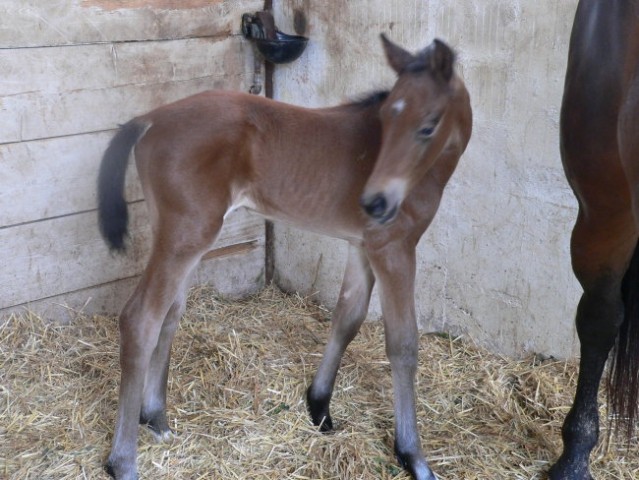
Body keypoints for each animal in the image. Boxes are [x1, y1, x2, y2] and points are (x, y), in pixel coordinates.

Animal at [97, 34, 472, 480]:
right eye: (385, 118)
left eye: (428, 125)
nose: (374, 203)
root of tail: (150, 118)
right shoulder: (393, 248)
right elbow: (403, 345)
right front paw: (412, 455)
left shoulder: (362, 246)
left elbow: (347, 318)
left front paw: (319, 406)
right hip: (187, 234)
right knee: (141, 320)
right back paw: (123, 460)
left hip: (179, 235)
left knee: (169, 314)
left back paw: (155, 417)